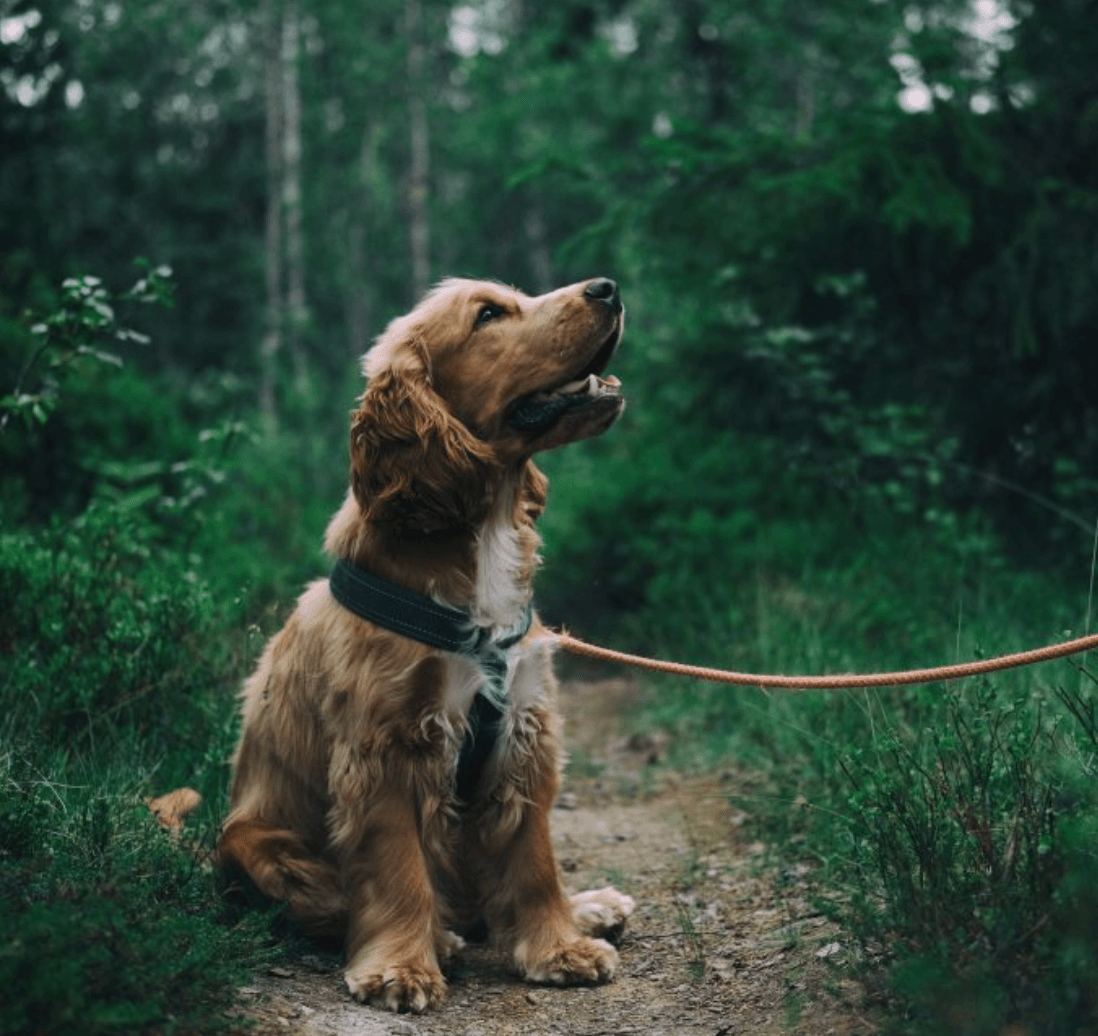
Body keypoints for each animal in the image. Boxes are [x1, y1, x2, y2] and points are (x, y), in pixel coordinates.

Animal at [216, 275, 636, 1009]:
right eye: (489, 314)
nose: (608, 287)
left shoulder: (524, 730)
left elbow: (533, 860)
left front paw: (559, 946)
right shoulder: (387, 746)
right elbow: (398, 869)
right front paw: (401, 968)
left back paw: (587, 907)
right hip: (256, 845)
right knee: (339, 902)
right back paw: (441, 938)